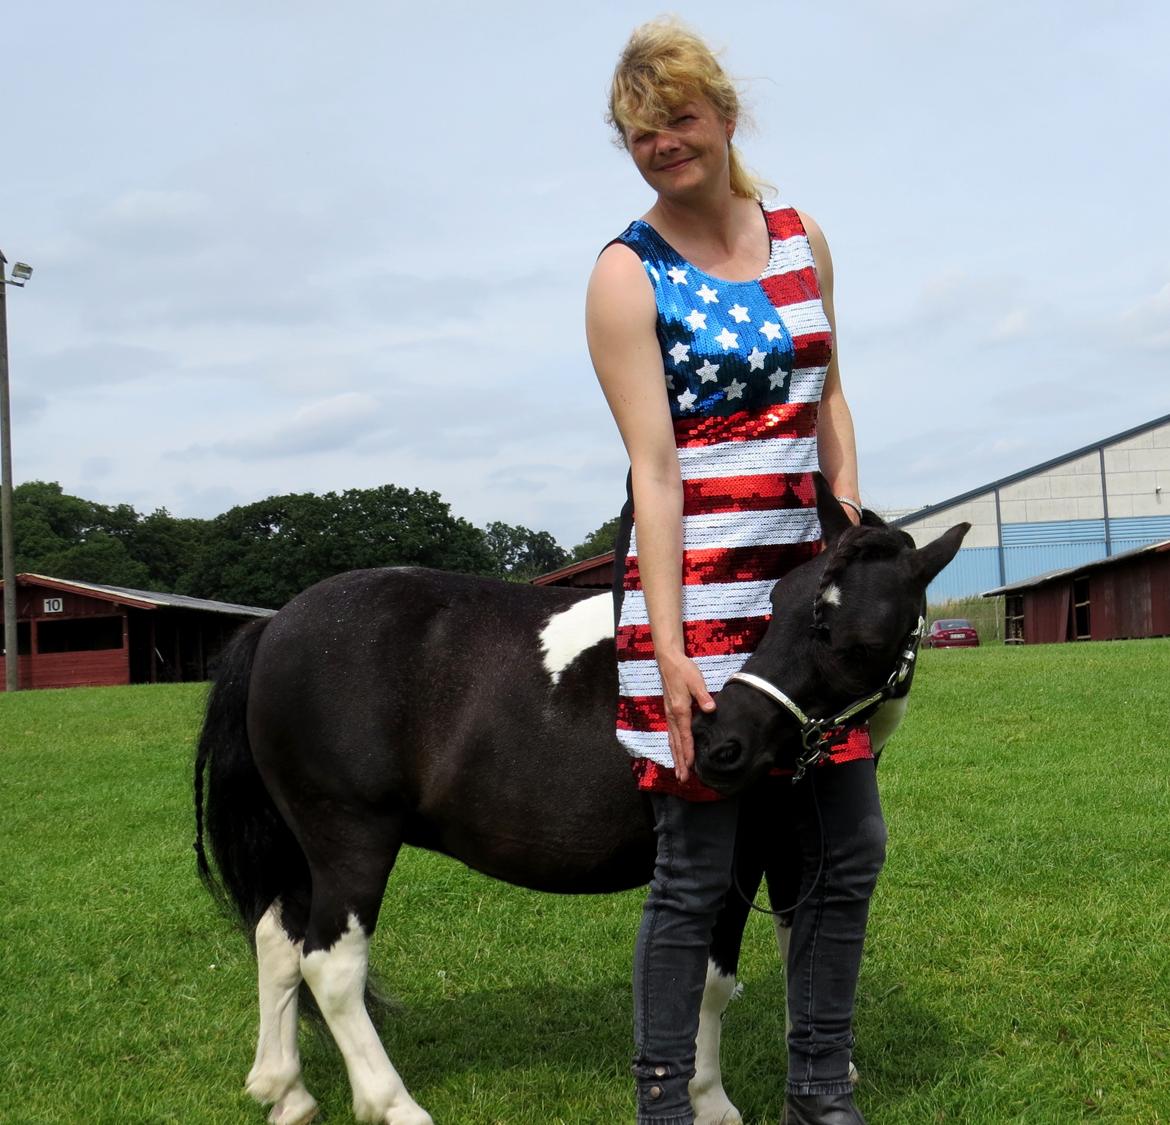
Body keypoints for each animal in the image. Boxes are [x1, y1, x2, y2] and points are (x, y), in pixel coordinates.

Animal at [196, 477, 964, 1122]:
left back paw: (285, 1090)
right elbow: (711, 983)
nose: (723, 744)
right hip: (351, 841)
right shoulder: (733, 862)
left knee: (276, 941)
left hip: (304, 849)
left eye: (854, 637)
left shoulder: (790, 849)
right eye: (779, 608)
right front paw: (711, 1101)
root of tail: (274, 625)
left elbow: (796, 944)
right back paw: (393, 1105)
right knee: (330, 965)